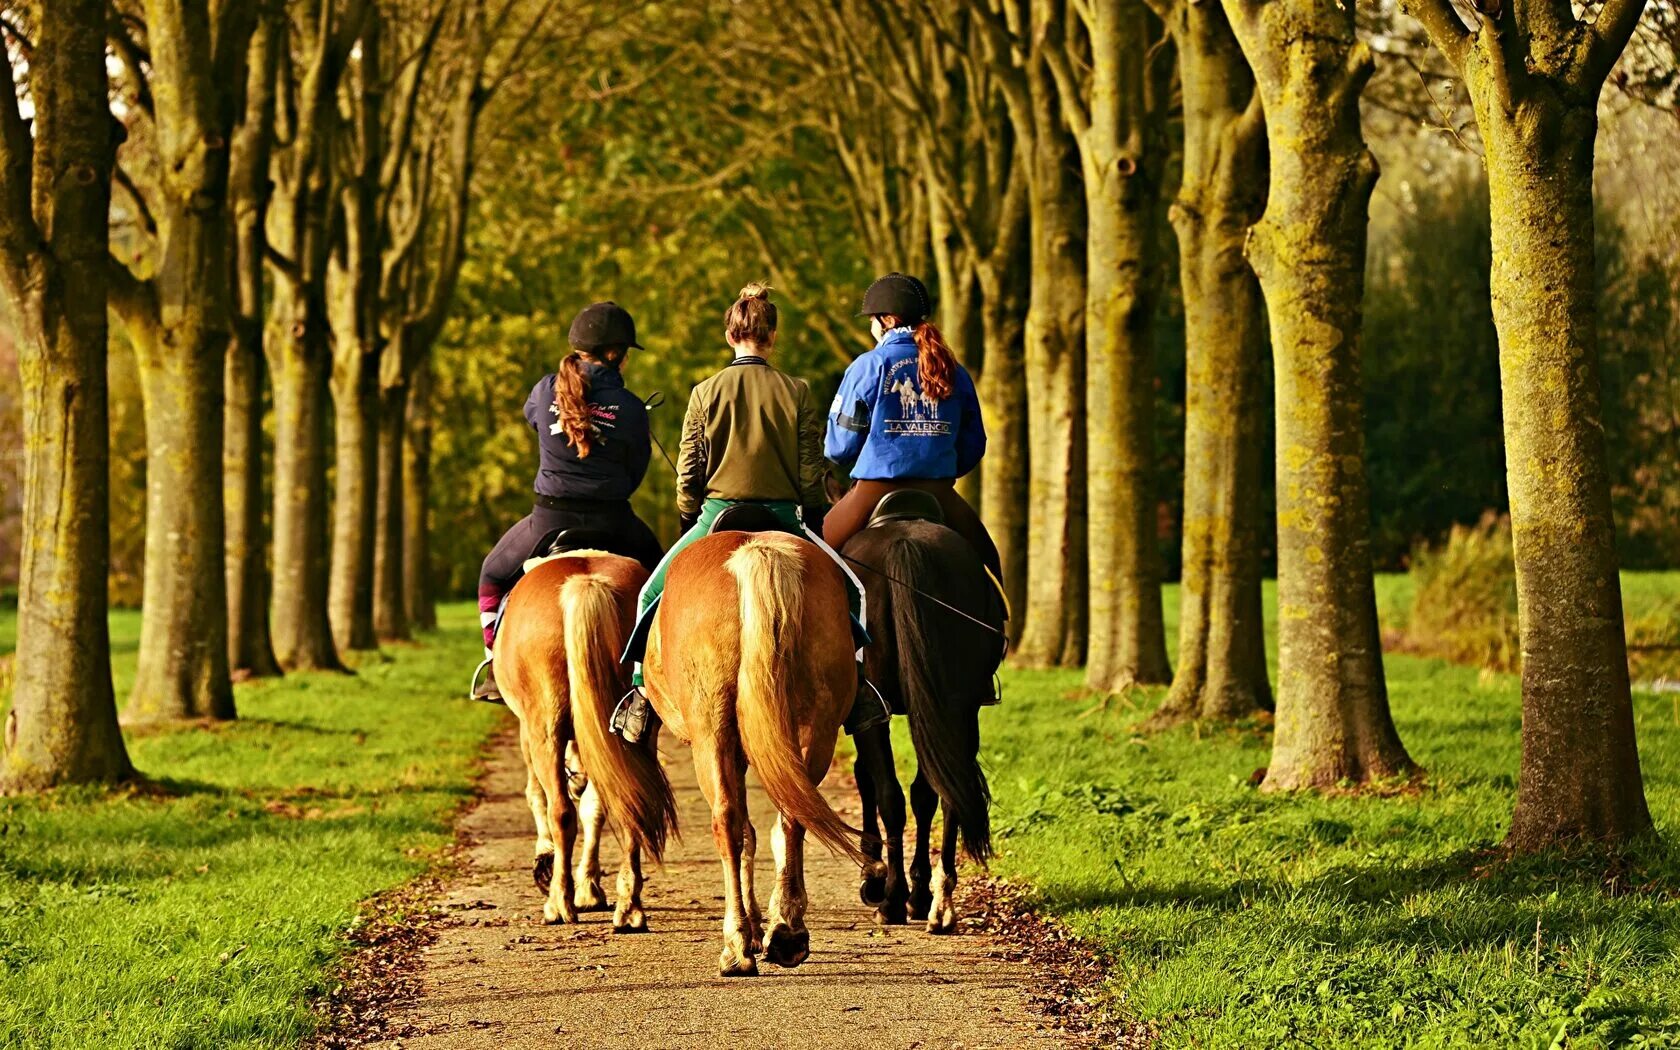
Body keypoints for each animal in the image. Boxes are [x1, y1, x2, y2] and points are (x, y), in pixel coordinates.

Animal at [641, 524, 866, 974]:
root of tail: (758, 550)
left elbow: (744, 830)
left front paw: (751, 924)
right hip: (816, 727)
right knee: (793, 816)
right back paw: (787, 932)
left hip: (710, 732)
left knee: (726, 822)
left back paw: (737, 944)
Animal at [836, 493, 1001, 927]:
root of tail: (905, 544)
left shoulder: (868, 714)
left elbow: (868, 779)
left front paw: (874, 877)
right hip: (956, 706)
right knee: (941, 791)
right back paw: (935, 900)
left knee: (892, 796)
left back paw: (894, 898)